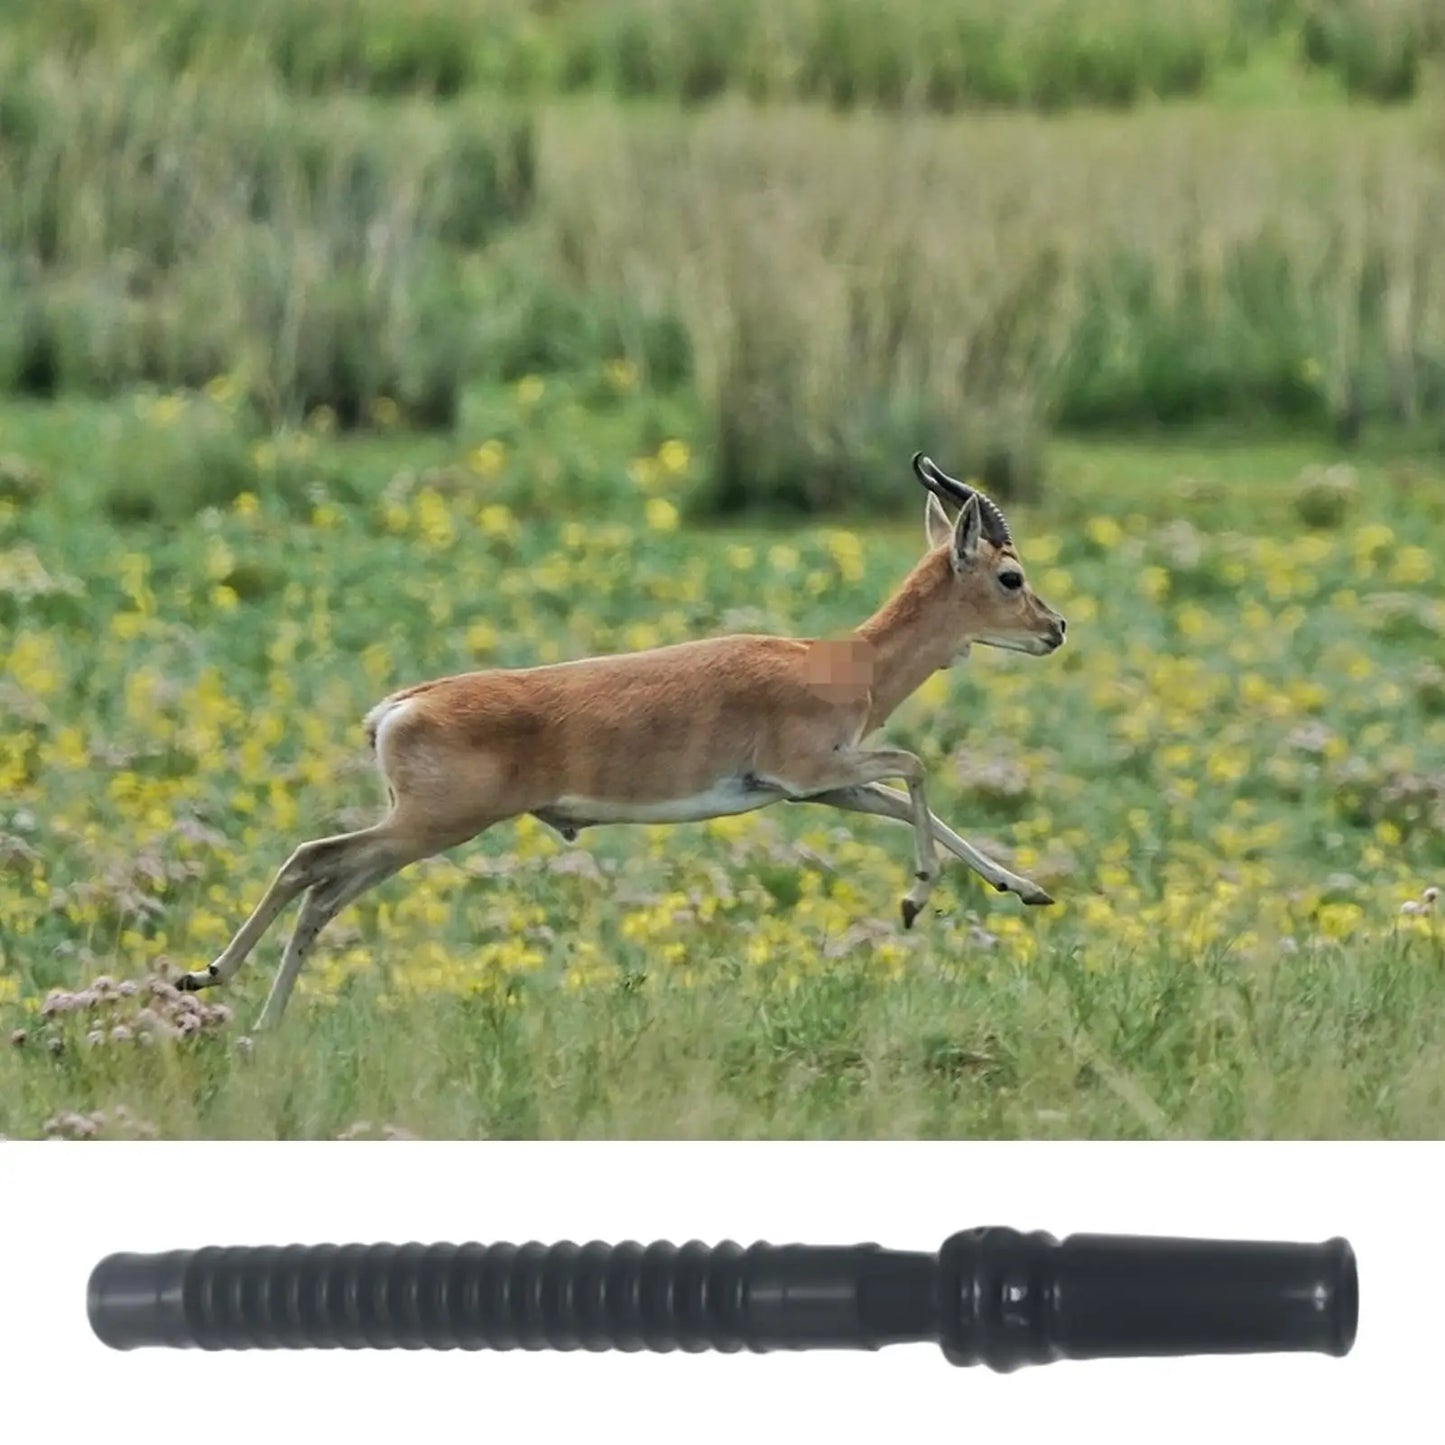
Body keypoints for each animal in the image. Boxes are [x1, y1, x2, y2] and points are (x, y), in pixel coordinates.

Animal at [178, 453, 1067, 1029]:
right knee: (309, 861)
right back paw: (205, 978)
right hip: (427, 825)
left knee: (325, 891)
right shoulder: (812, 767)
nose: (1056, 628)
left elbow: (915, 803)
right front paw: (914, 900)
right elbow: (915, 769)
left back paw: (252, 1018)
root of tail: (397, 706)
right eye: (1010, 575)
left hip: (412, 834)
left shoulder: (824, 787)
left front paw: (1023, 888)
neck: (847, 661)